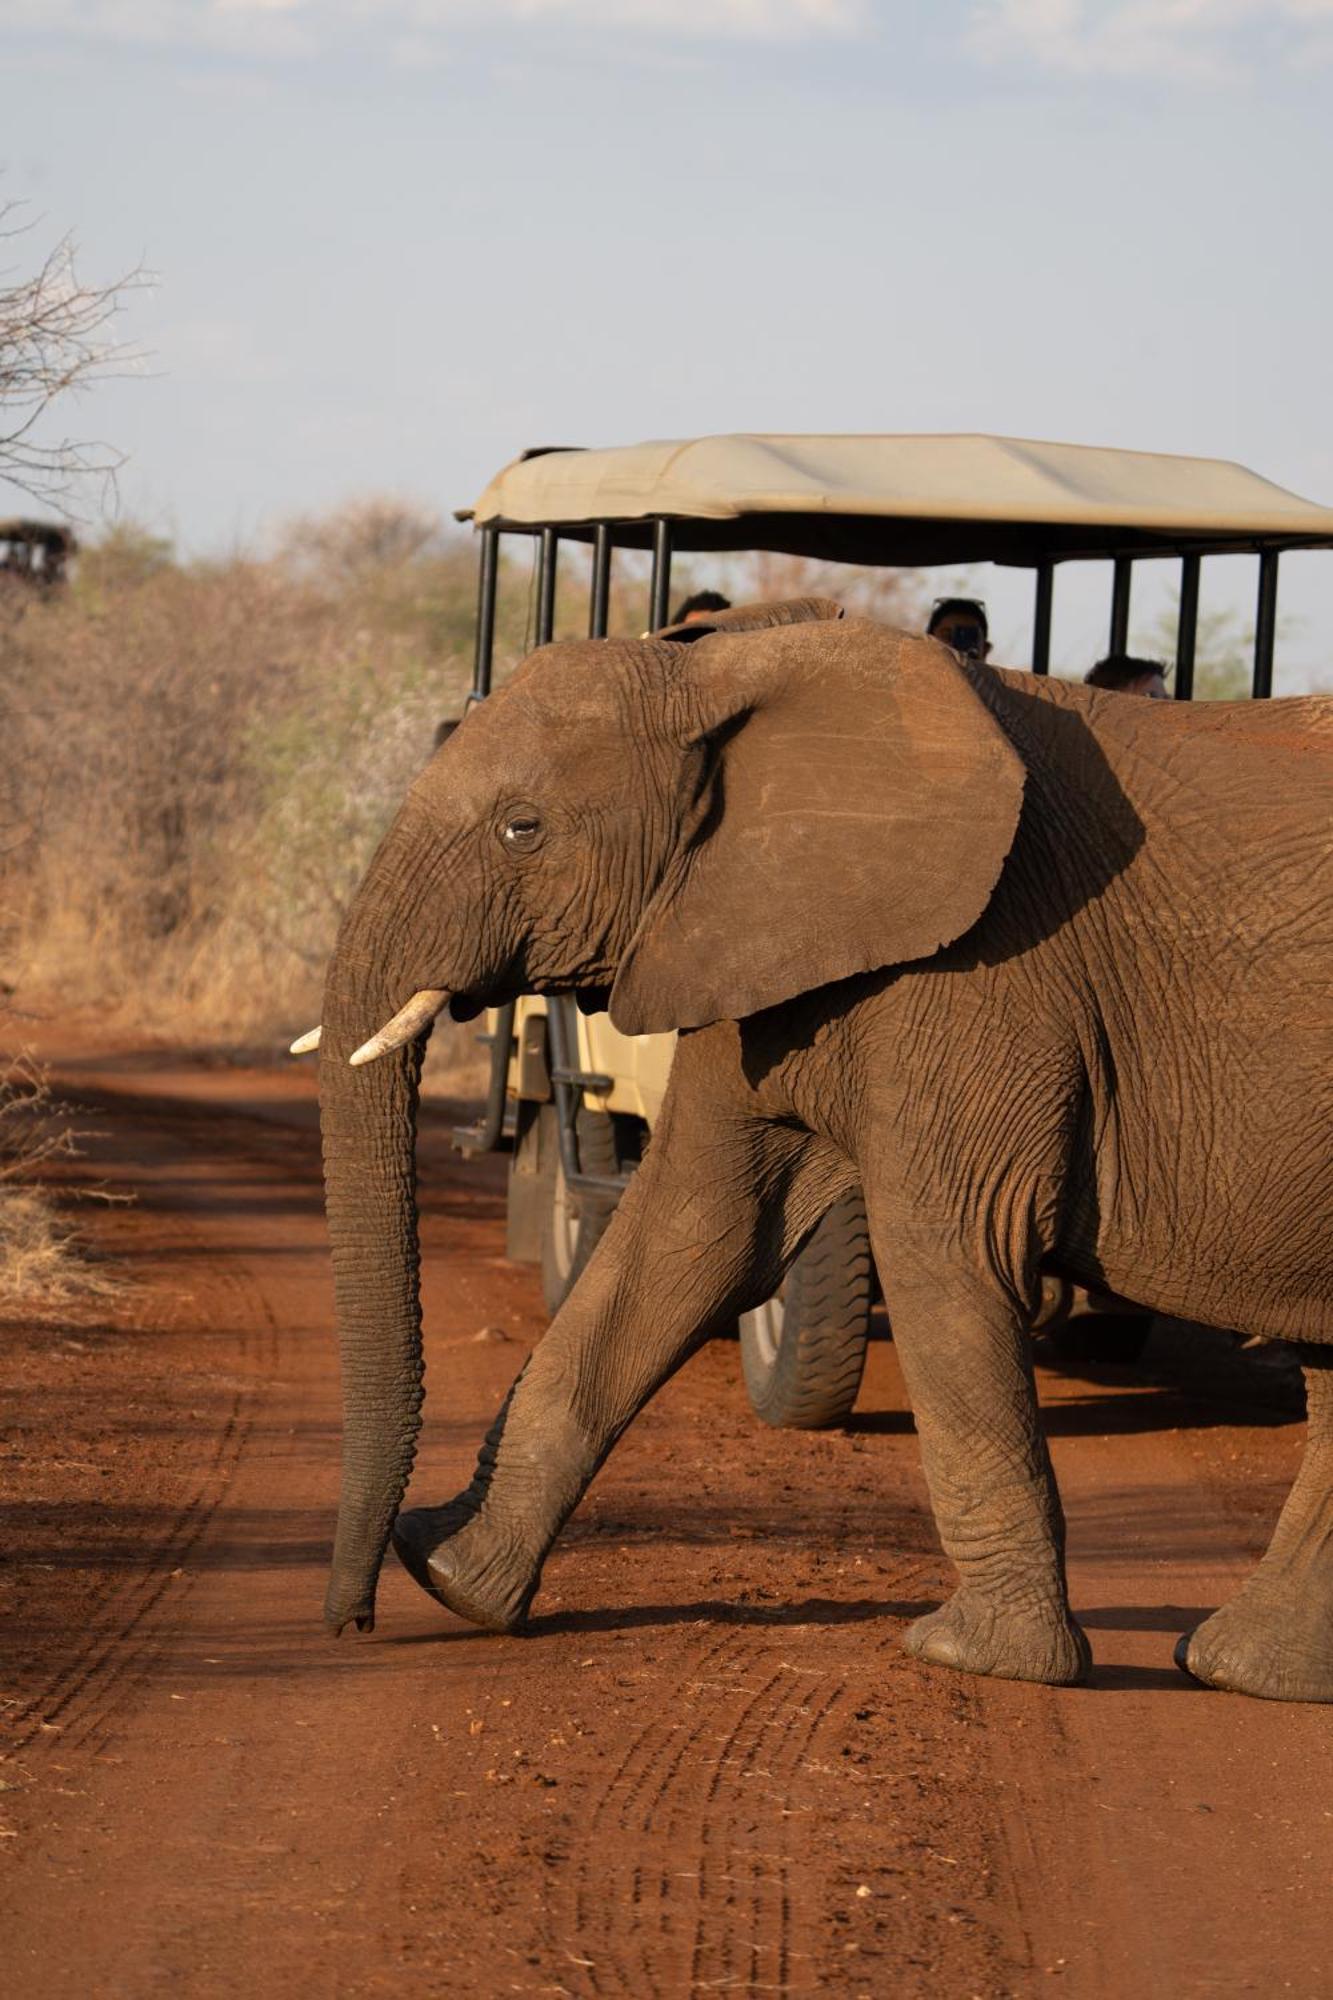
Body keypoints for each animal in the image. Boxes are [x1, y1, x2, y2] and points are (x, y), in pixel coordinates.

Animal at [308, 592, 1328, 1704]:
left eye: (521, 827)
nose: (353, 1621)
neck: (734, 668)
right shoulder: (743, 942)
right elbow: (684, 1237)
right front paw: (453, 1578)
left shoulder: (987, 972)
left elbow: (948, 1252)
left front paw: (974, 1656)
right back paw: (1244, 1668)